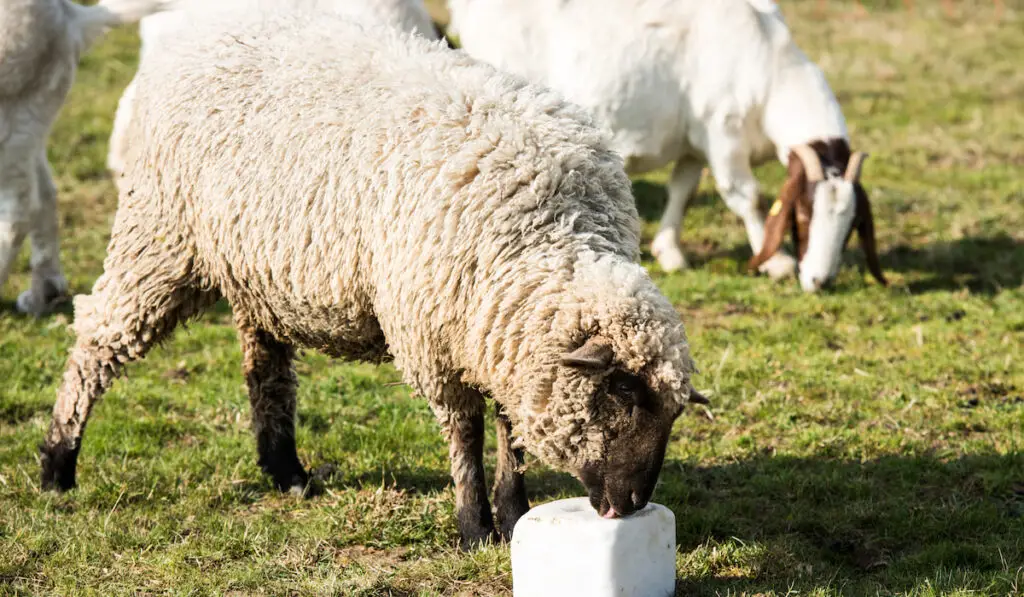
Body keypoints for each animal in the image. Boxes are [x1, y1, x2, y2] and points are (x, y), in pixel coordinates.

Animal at [0, 0, 172, 315]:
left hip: (11, 115)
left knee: (19, 208)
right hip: (31, 119)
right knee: (44, 193)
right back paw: (44, 292)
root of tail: (67, 19)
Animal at [448, 0, 888, 292]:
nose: (820, 280)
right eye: (802, 215)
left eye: (852, 225)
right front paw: (776, 262)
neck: (768, 68)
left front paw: (670, 251)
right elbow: (747, 197)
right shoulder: (723, 136)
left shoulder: (695, 144)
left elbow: (683, 190)